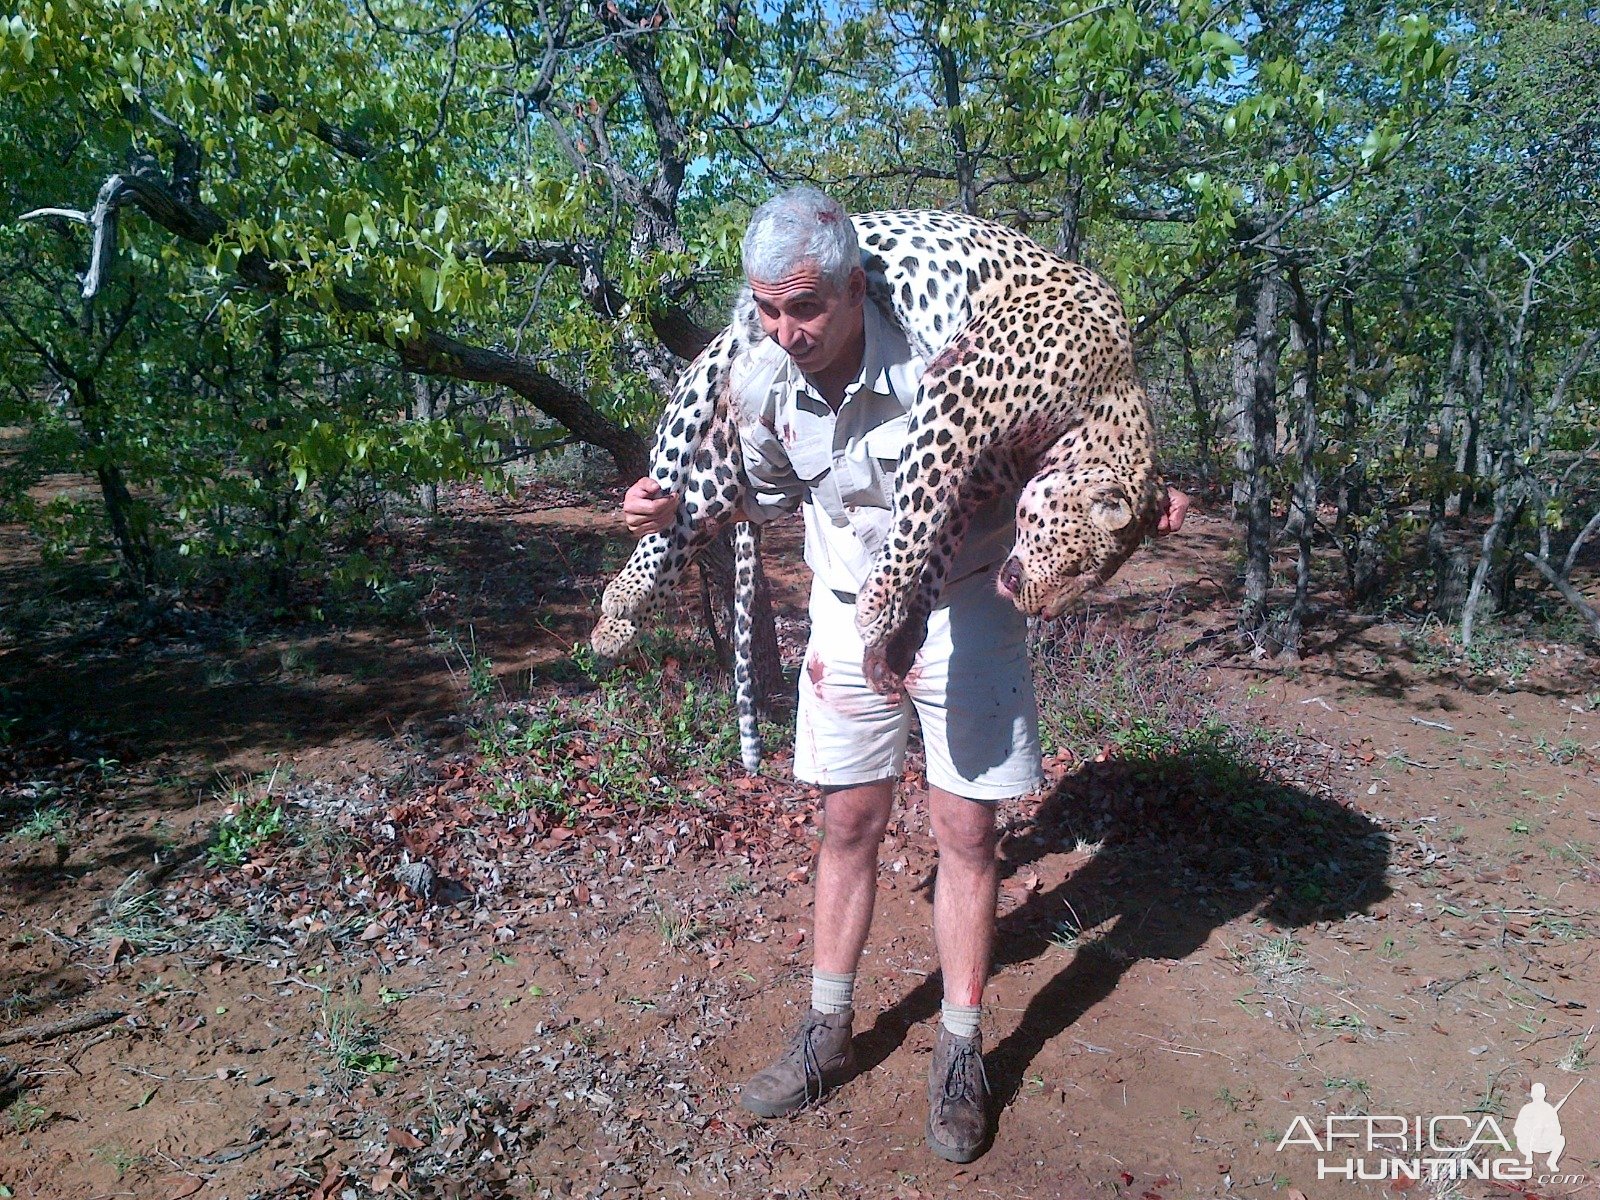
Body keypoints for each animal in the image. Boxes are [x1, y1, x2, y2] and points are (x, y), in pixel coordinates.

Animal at [592, 206, 1164, 764]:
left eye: (1091, 578)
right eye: (1078, 564)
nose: (1039, 610)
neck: (1104, 397)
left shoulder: (973, 481)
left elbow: (934, 543)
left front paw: (898, 642)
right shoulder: (955, 394)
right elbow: (915, 519)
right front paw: (875, 607)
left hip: (724, 461)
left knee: (696, 513)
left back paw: (614, 626)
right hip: (713, 384)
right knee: (671, 483)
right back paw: (622, 594)